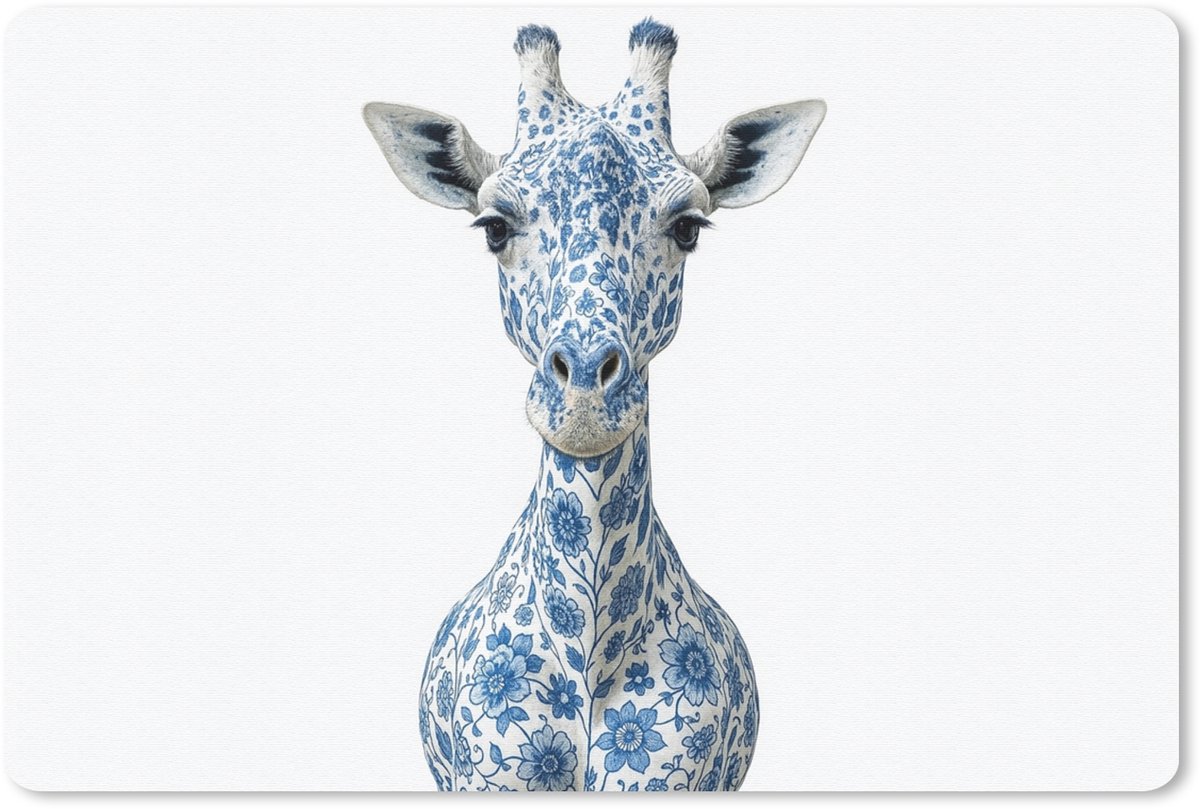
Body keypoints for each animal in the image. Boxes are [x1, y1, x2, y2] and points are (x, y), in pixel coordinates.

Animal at [364, 18, 824, 791]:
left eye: (688, 226)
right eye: (493, 226)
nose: (583, 398)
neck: (591, 657)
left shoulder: (675, 779)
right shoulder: (486, 777)